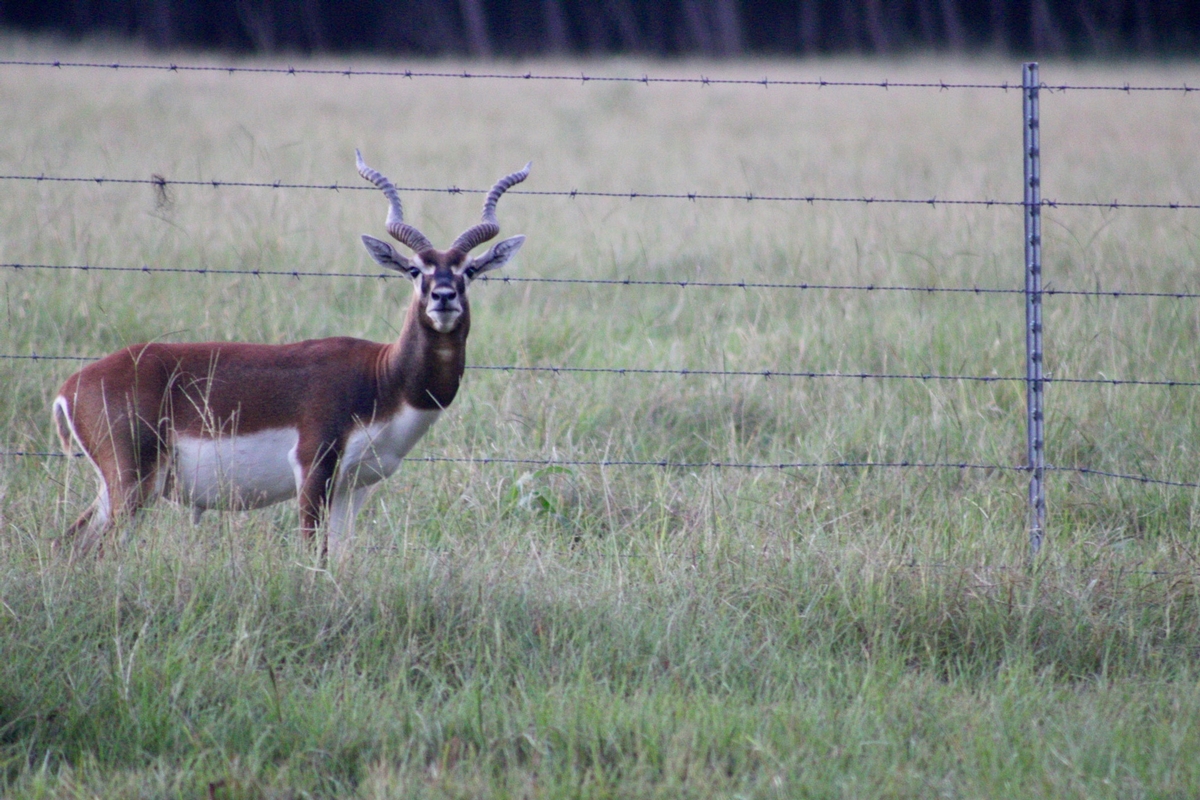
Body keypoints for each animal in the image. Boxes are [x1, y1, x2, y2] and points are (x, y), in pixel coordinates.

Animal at [52, 151, 529, 561]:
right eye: (415, 270)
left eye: (469, 270)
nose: (444, 297)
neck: (385, 380)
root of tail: (71, 387)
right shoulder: (313, 468)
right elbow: (313, 554)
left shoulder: (355, 486)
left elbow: (339, 558)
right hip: (133, 484)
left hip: (115, 490)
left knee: (69, 544)